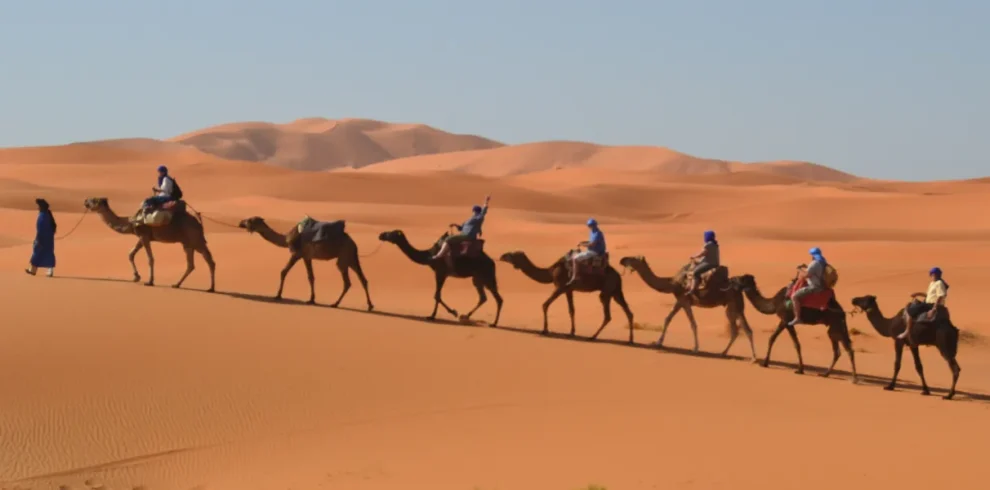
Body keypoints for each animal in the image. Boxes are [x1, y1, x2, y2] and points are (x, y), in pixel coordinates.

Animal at [84, 198, 218, 290]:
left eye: (94, 200)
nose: (85, 201)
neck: (131, 222)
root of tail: (199, 222)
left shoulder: (144, 236)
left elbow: (150, 259)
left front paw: (149, 281)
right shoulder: (141, 237)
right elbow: (130, 254)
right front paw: (136, 277)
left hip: (195, 239)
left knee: (209, 260)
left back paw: (210, 288)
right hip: (187, 243)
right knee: (192, 264)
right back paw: (177, 284)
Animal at [238, 217, 374, 310]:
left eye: (250, 220)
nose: (240, 222)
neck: (286, 238)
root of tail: (353, 243)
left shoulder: (296, 254)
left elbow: (283, 271)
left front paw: (278, 295)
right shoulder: (307, 257)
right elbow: (311, 277)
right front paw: (311, 299)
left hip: (343, 257)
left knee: (347, 282)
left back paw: (335, 303)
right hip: (351, 258)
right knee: (363, 279)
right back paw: (369, 305)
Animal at [500, 251, 632, 342]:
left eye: (512, 255)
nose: (502, 256)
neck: (550, 271)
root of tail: (618, 275)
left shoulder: (560, 287)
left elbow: (545, 305)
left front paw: (544, 330)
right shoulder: (569, 290)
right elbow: (571, 310)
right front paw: (572, 332)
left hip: (606, 291)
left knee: (607, 315)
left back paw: (592, 337)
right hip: (616, 291)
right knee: (628, 311)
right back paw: (630, 340)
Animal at [620, 256, 760, 360]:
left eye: (633, 258)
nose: (622, 259)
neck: (672, 283)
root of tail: (740, 288)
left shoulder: (685, 300)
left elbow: (693, 324)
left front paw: (696, 348)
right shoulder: (679, 301)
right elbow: (668, 318)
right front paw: (658, 342)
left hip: (735, 305)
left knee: (745, 329)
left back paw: (753, 357)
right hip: (731, 307)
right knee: (738, 330)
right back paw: (724, 353)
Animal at [728, 272, 860, 382]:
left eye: (740, 279)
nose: (731, 279)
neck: (774, 303)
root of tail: (842, 312)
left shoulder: (786, 320)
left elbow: (794, 343)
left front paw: (799, 369)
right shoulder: (784, 321)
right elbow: (773, 338)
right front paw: (765, 363)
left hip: (836, 323)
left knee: (848, 349)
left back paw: (854, 379)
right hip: (833, 327)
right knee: (837, 350)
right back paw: (825, 374)